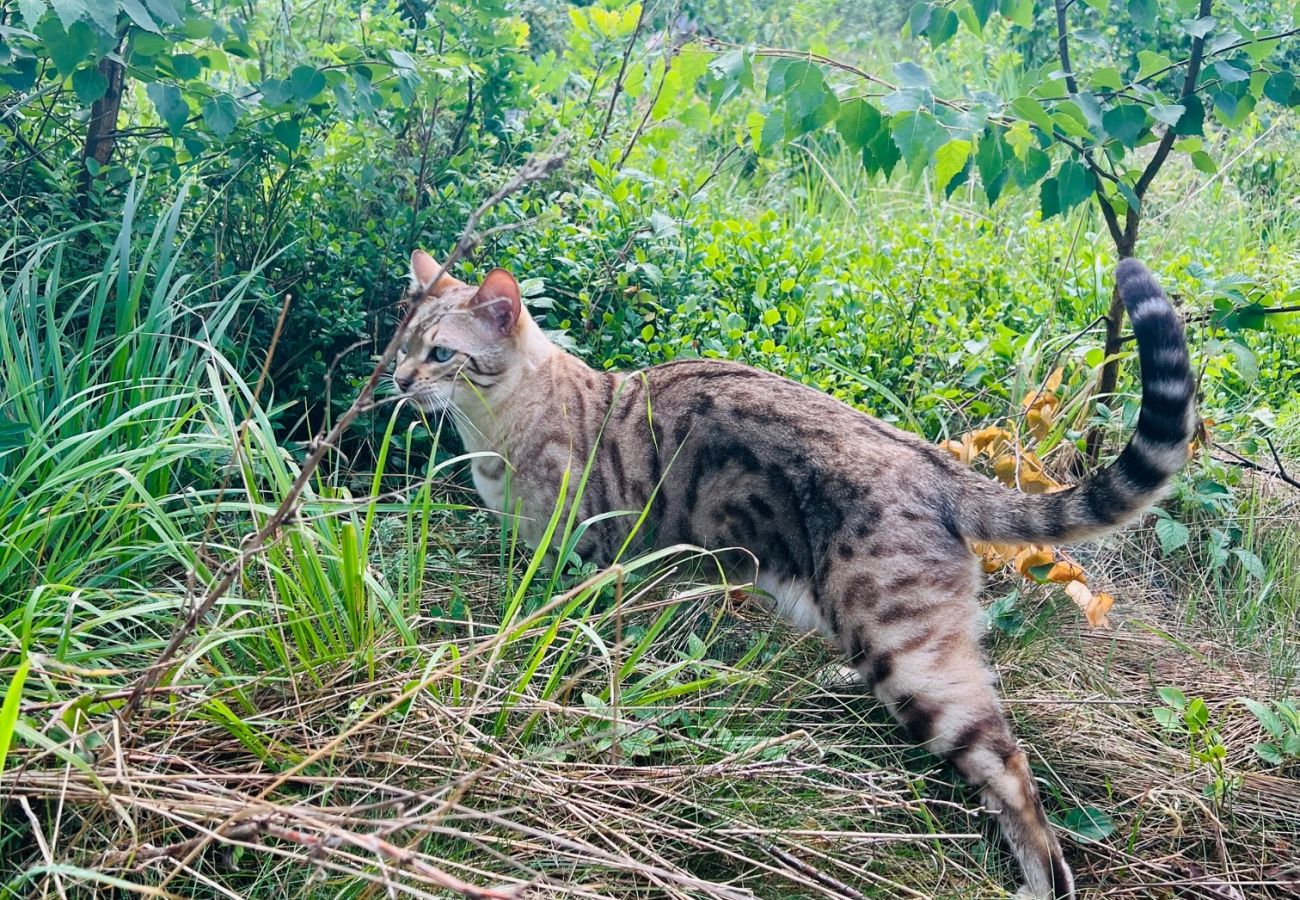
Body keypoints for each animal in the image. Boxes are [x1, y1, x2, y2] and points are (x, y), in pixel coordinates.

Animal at [392, 248, 1196, 900]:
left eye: (441, 353)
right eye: (401, 347)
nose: (397, 382)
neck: (499, 428)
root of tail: (933, 463)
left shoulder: (585, 566)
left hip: (910, 664)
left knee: (1011, 770)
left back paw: (1037, 881)